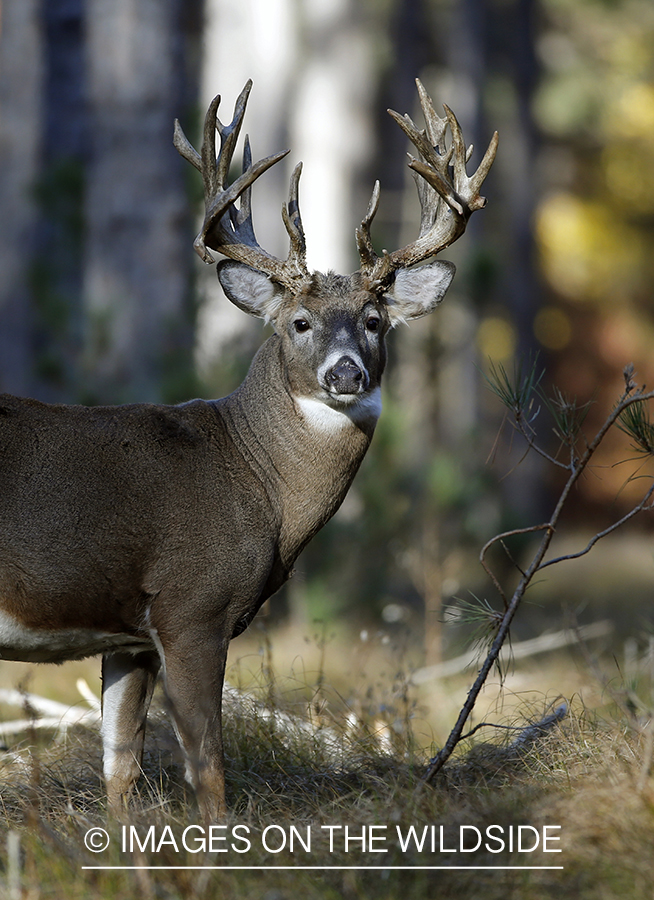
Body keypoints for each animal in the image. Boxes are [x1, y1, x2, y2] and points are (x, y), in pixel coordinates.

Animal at [0, 79, 494, 824]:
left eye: (374, 321)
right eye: (300, 322)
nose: (346, 373)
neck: (256, 482)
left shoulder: (129, 635)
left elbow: (121, 768)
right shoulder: (191, 606)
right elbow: (208, 767)